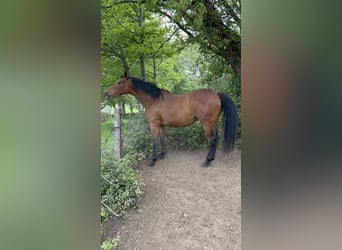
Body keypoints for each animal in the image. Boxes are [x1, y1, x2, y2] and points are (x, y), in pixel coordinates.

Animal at [105, 71, 238, 167]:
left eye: (119, 82)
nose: (106, 93)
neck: (154, 100)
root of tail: (216, 94)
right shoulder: (161, 125)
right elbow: (162, 139)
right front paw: (162, 155)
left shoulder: (153, 124)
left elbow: (155, 142)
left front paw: (153, 161)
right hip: (213, 123)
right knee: (216, 138)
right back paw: (211, 159)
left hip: (206, 124)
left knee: (212, 140)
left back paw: (207, 162)